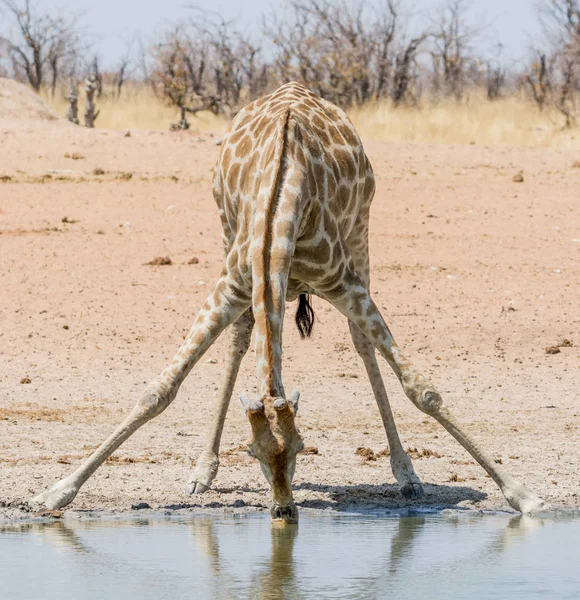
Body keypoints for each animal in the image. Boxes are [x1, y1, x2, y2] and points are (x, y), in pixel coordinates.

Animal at [34, 82, 548, 524]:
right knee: (241, 337)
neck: (281, 209)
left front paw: (523, 495)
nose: (284, 510)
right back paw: (202, 472)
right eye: (253, 452)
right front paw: (55, 492)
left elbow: (422, 389)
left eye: (301, 447)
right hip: (226, 235)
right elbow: (158, 390)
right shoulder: (232, 284)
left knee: (361, 343)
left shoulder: (346, 284)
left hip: (361, 235)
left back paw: (407, 474)